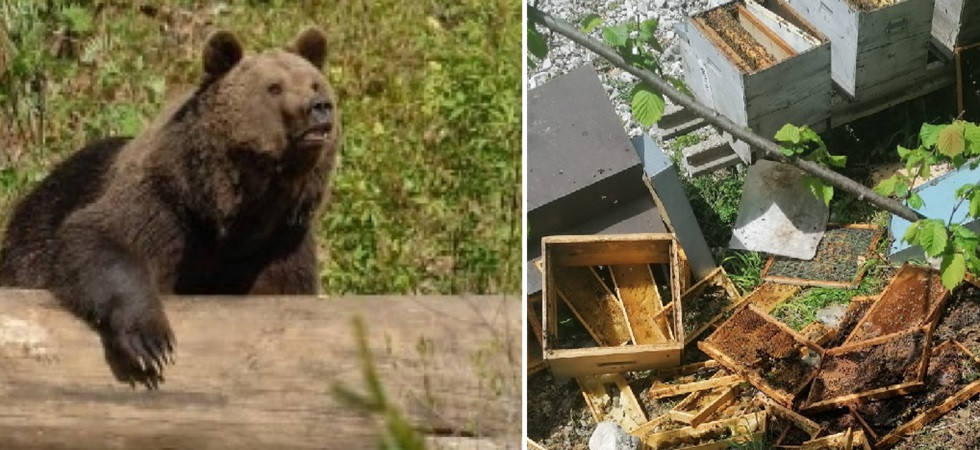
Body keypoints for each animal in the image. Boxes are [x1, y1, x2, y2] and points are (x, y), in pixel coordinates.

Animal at [0, 27, 340, 388]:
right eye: (274, 87)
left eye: (314, 83)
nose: (320, 107)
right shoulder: (164, 207)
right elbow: (100, 237)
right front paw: (151, 343)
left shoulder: (280, 243)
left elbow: (283, 290)